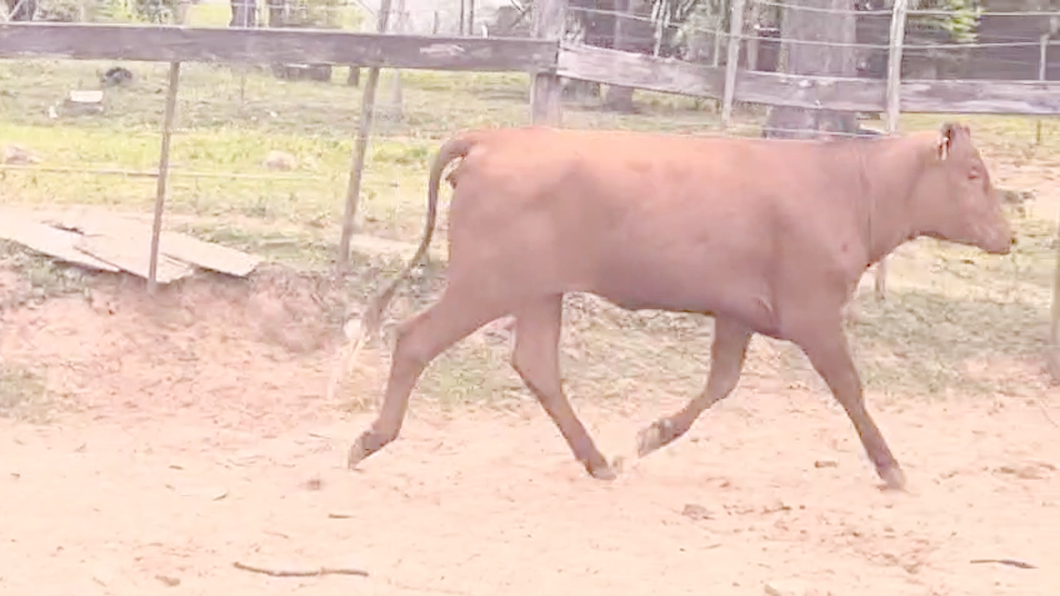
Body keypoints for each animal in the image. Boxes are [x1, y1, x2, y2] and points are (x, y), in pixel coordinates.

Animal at [337, 120, 1009, 487]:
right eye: (974, 174)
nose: (1010, 237)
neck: (848, 188)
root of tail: (493, 140)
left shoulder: (739, 312)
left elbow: (720, 384)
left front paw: (652, 434)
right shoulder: (813, 312)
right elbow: (849, 387)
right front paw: (890, 467)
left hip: (539, 291)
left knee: (537, 364)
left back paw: (598, 461)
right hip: (486, 282)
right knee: (416, 338)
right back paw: (369, 439)